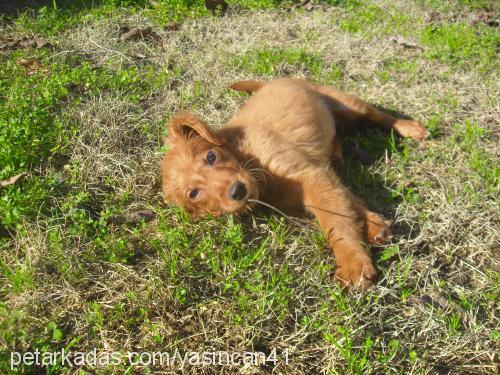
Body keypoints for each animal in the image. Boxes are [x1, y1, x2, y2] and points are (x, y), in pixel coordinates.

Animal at [161, 78, 430, 290]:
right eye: (194, 193)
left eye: (211, 157)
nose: (238, 191)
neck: (245, 154)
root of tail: (273, 80)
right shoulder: (318, 178)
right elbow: (349, 204)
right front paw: (374, 226)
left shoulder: (310, 175)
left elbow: (336, 221)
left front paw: (353, 262)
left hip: (348, 103)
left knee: (380, 116)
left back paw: (410, 127)